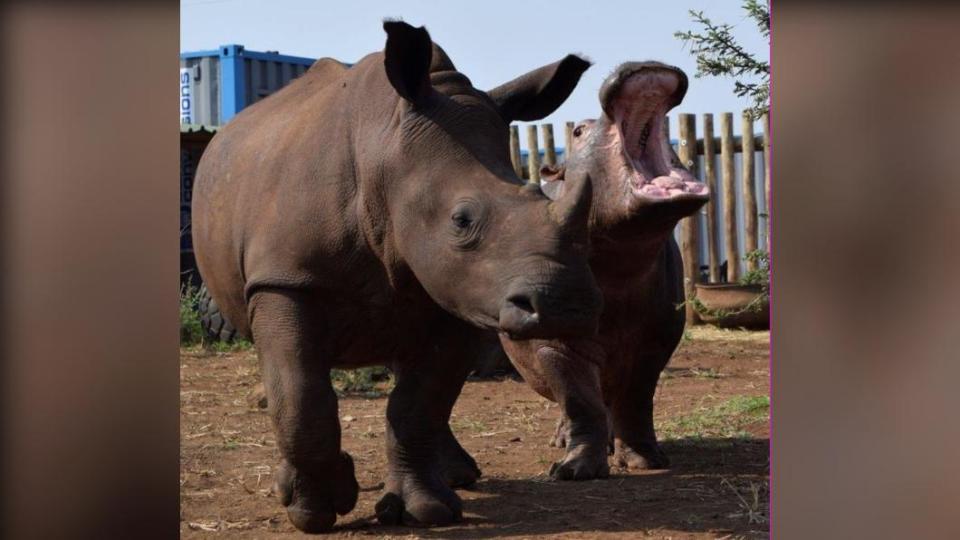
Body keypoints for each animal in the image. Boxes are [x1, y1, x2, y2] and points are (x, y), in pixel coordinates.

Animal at [191, 22, 604, 532]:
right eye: (461, 220)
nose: (566, 306)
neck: (384, 155)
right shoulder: (286, 280)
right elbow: (301, 396)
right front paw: (314, 509)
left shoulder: (462, 293)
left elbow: (421, 403)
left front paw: (425, 511)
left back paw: (458, 476)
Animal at [498, 60, 708, 480]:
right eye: (578, 131)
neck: (620, 264)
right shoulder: (554, 345)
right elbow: (579, 401)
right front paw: (574, 470)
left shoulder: (655, 341)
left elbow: (636, 401)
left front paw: (646, 460)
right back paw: (562, 443)